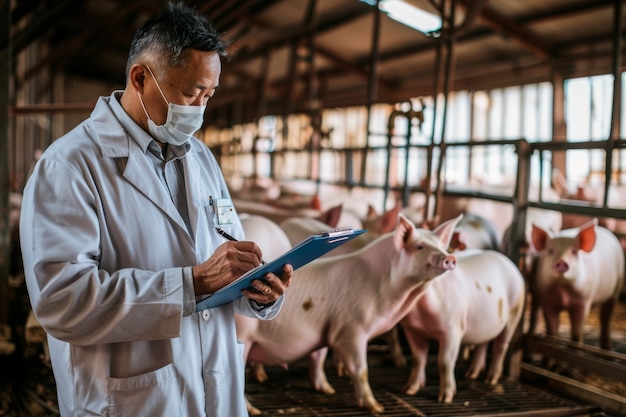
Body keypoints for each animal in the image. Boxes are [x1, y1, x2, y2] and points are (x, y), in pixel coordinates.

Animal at [234, 214, 458, 412]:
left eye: (442, 246)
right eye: (419, 247)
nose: (450, 257)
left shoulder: (324, 329)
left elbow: (318, 359)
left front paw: (328, 391)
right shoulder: (351, 330)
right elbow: (361, 371)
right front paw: (377, 408)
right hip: (243, 336)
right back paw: (254, 410)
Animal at [398, 249, 524, 402]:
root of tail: (511, 264)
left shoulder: (453, 330)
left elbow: (445, 362)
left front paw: (445, 399)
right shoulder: (411, 330)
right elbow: (418, 359)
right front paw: (408, 391)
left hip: (514, 312)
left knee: (500, 346)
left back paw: (490, 380)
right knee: (483, 343)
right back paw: (471, 375)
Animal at [528, 218, 624, 348]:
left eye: (574, 252)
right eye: (551, 251)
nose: (561, 261)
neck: (563, 289)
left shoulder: (583, 302)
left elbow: (576, 334)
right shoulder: (547, 301)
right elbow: (553, 332)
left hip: (616, 288)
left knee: (605, 319)